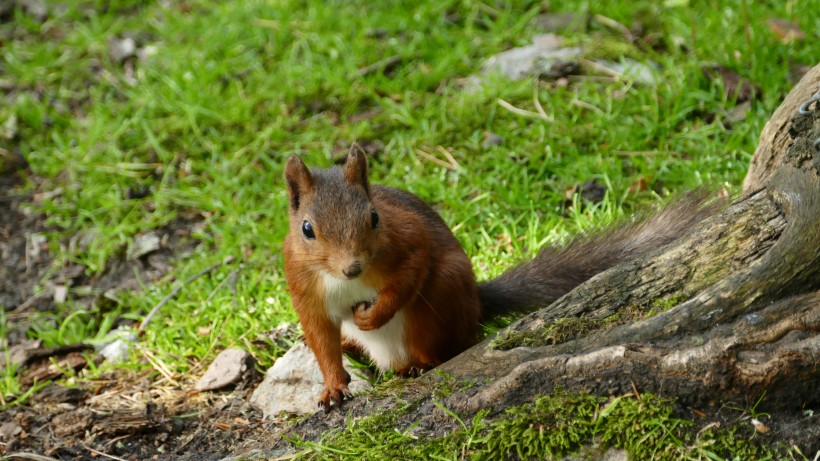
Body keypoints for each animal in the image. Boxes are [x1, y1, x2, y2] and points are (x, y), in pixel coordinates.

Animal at [286, 146, 720, 408]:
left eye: (374, 218)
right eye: (307, 229)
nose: (353, 268)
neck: (343, 280)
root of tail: (477, 305)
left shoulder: (408, 241)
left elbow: (411, 273)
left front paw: (370, 316)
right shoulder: (304, 286)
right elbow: (321, 338)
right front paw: (332, 388)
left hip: (442, 294)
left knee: (444, 342)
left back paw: (421, 365)